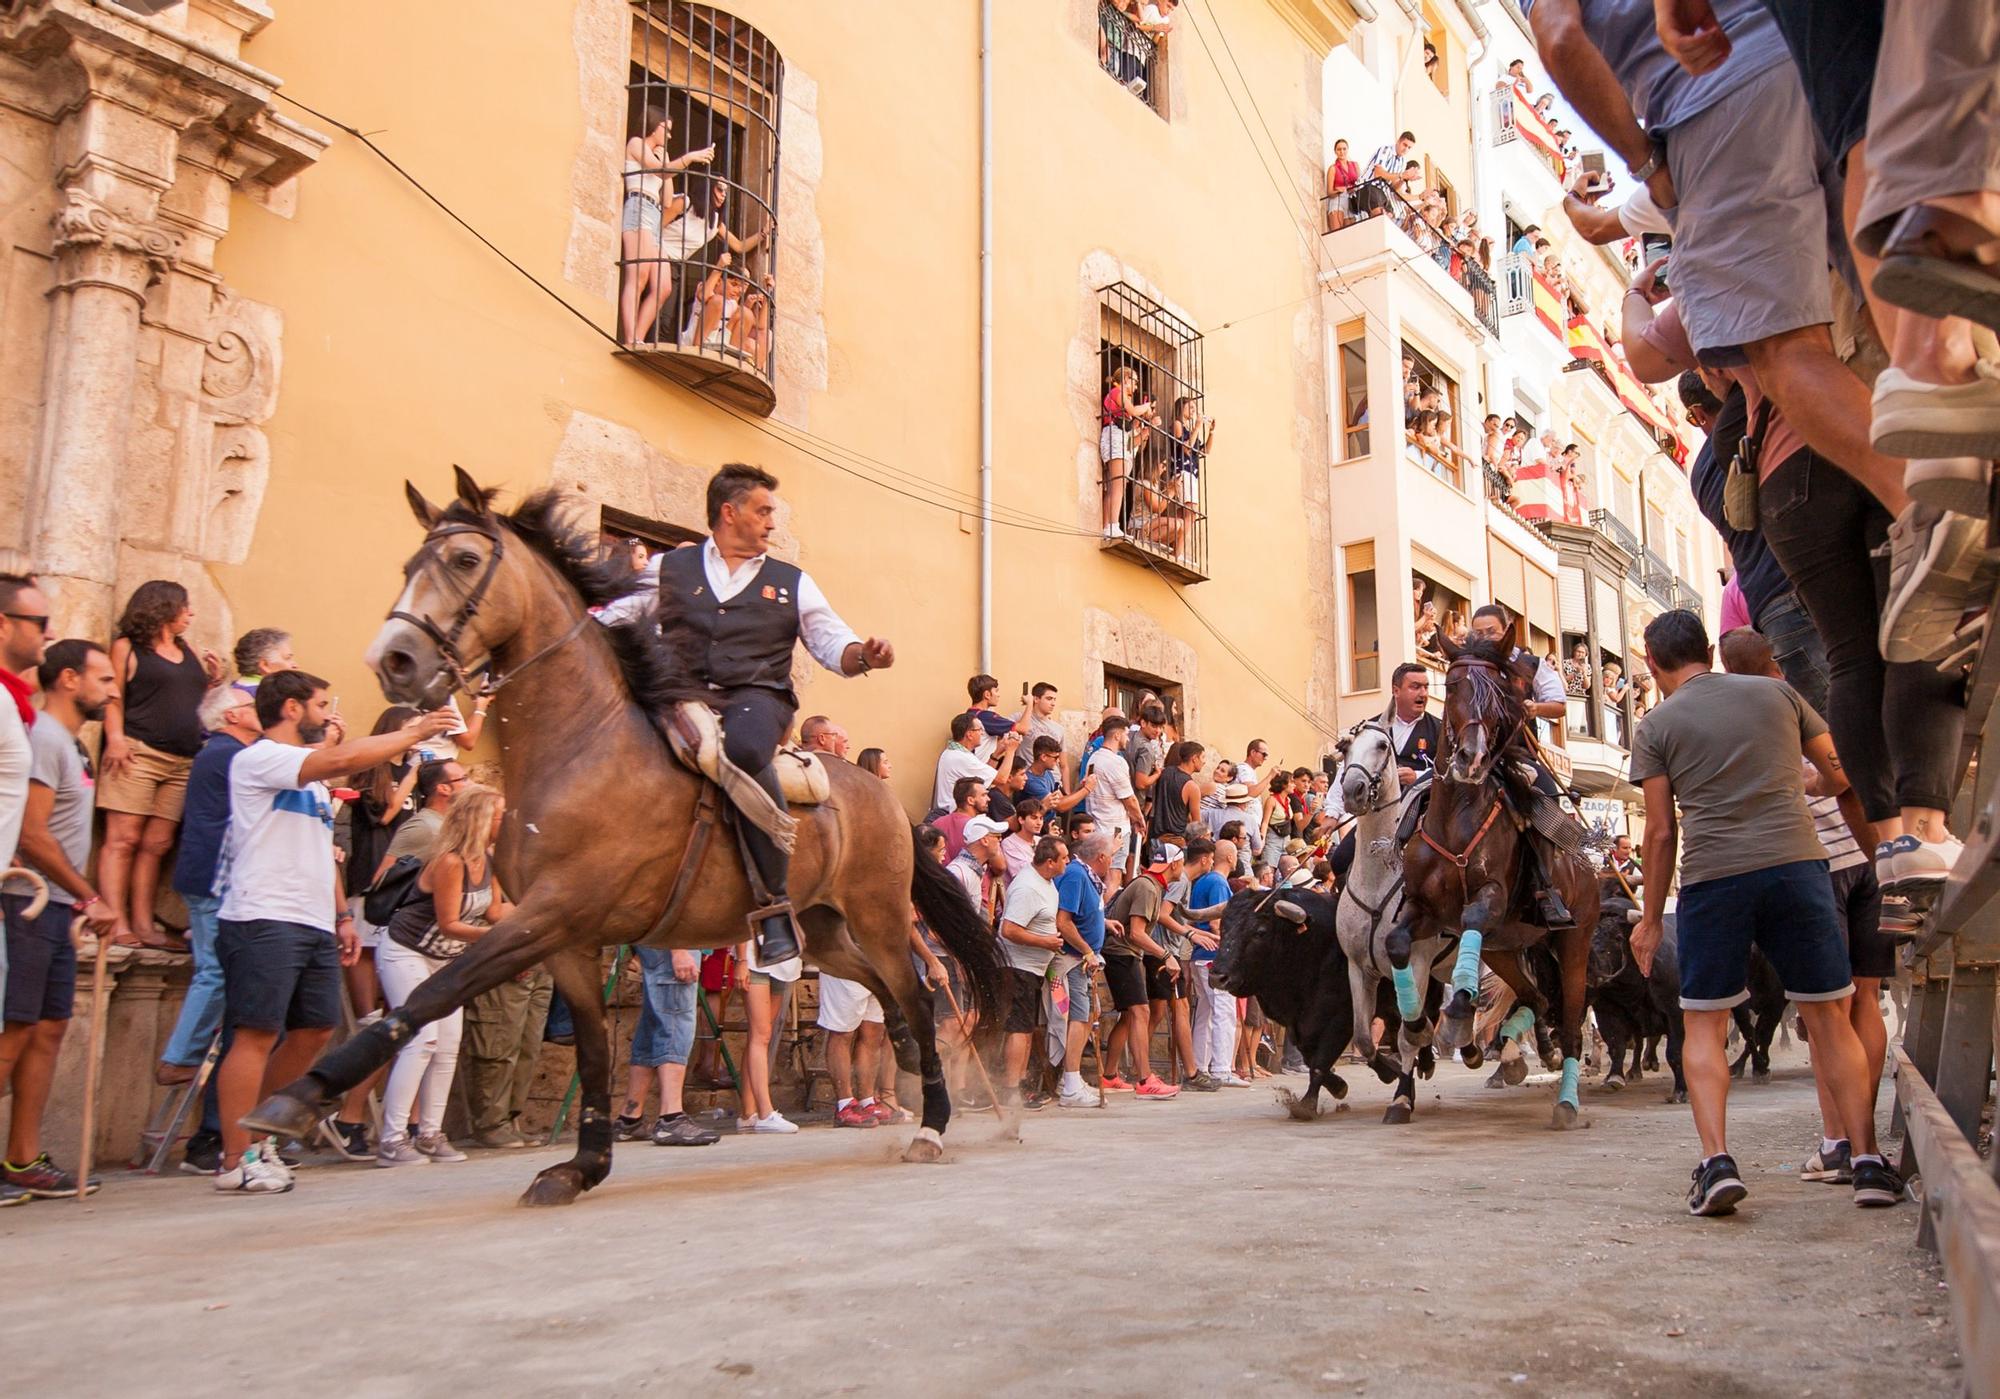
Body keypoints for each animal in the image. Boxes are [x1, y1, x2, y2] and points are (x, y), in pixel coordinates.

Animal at [244, 469, 1008, 1199]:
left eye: (464, 559)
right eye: (410, 563)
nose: (394, 659)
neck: (582, 743)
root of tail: (878, 793)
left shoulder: (553, 912)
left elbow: (436, 993)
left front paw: (296, 1096)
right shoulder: (567, 938)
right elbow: (589, 1050)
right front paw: (581, 1166)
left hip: (876, 914)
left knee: (917, 990)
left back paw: (932, 1122)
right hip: (821, 929)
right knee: (886, 990)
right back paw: (903, 1056)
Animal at [1344, 715, 1456, 1119]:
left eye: (1382, 746)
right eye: (1344, 748)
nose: (1353, 790)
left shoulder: (1416, 962)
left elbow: (1408, 1034)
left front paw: (1402, 1098)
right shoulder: (1359, 968)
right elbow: (1363, 1036)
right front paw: (1389, 1071)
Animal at [1384, 635, 1600, 1127]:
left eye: (1501, 694)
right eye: (1454, 686)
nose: (1471, 758)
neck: (1456, 815)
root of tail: (1590, 866)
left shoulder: (1490, 902)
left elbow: (1472, 920)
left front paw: (1457, 1015)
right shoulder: (1423, 909)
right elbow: (1396, 943)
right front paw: (1416, 1024)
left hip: (1573, 943)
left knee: (1572, 1023)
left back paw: (1566, 1101)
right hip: (1505, 949)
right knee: (1536, 998)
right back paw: (1528, 1050)